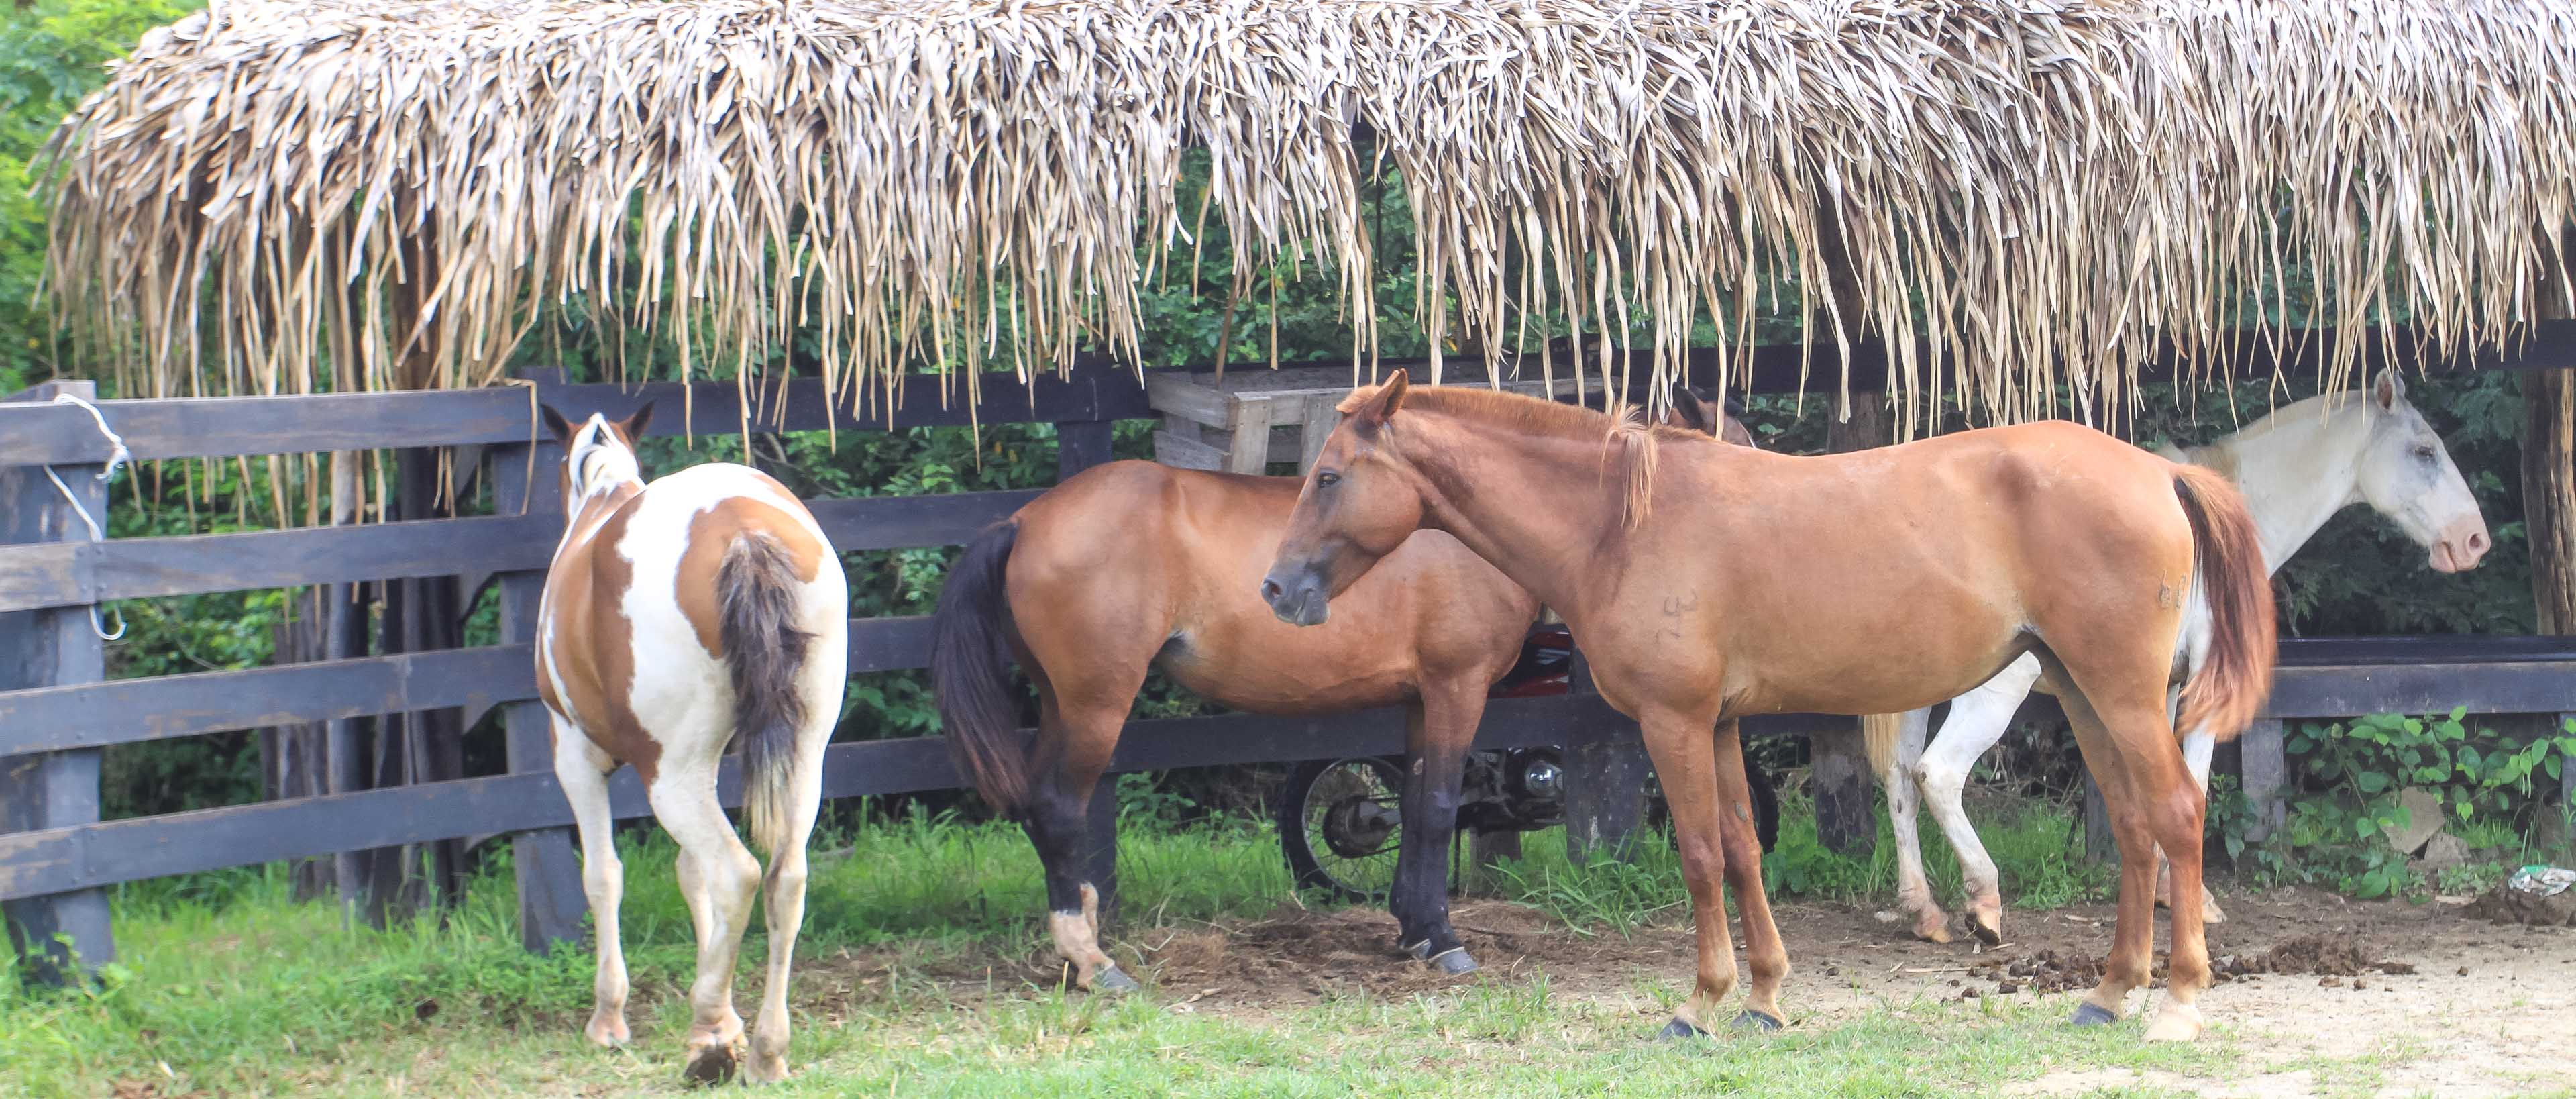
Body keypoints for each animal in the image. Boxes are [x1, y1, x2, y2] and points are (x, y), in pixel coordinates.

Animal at [533, 403, 850, 1084]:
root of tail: (743, 529)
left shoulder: (575, 757)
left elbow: (604, 876)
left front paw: (611, 1018)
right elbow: (689, 873)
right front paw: (727, 1020)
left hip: (669, 776)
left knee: (737, 873)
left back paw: (708, 1040)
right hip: (803, 757)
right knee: (785, 878)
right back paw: (764, 1049)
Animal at [931, 388, 1751, 990]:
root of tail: (1024, 518)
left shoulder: (1421, 701)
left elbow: (1416, 806)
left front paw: (1415, 929)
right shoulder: (1456, 688)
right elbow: (1438, 809)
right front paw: (1444, 940)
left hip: (1063, 702)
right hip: (1096, 704)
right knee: (1058, 809)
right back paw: (1094, 961)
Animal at [1260, 372, 2274, 1043]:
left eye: (1329, 476)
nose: (1275, 589)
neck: (1622, 526)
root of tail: (2155, 471)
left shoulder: (1672, 721)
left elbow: (1702, 856)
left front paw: (1700, 1003)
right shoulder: (1716, 723)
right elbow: (1744, 850)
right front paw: (1763, 997)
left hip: (2123, 695)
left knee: (2177, 815)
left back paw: (2177, 999)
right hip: (2084, 692)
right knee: (2138, 829)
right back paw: (2110, 992)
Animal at [1867, 371, 2491, 945]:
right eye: (2424, 450)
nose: (2473, 542)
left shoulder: (2161, 691)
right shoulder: (2204, 689)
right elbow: (2196, 779)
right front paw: (2195, 898)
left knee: (1901, 779)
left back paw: (1924, 911)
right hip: (1992, 696)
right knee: (1937, 773)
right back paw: (1984, 904)